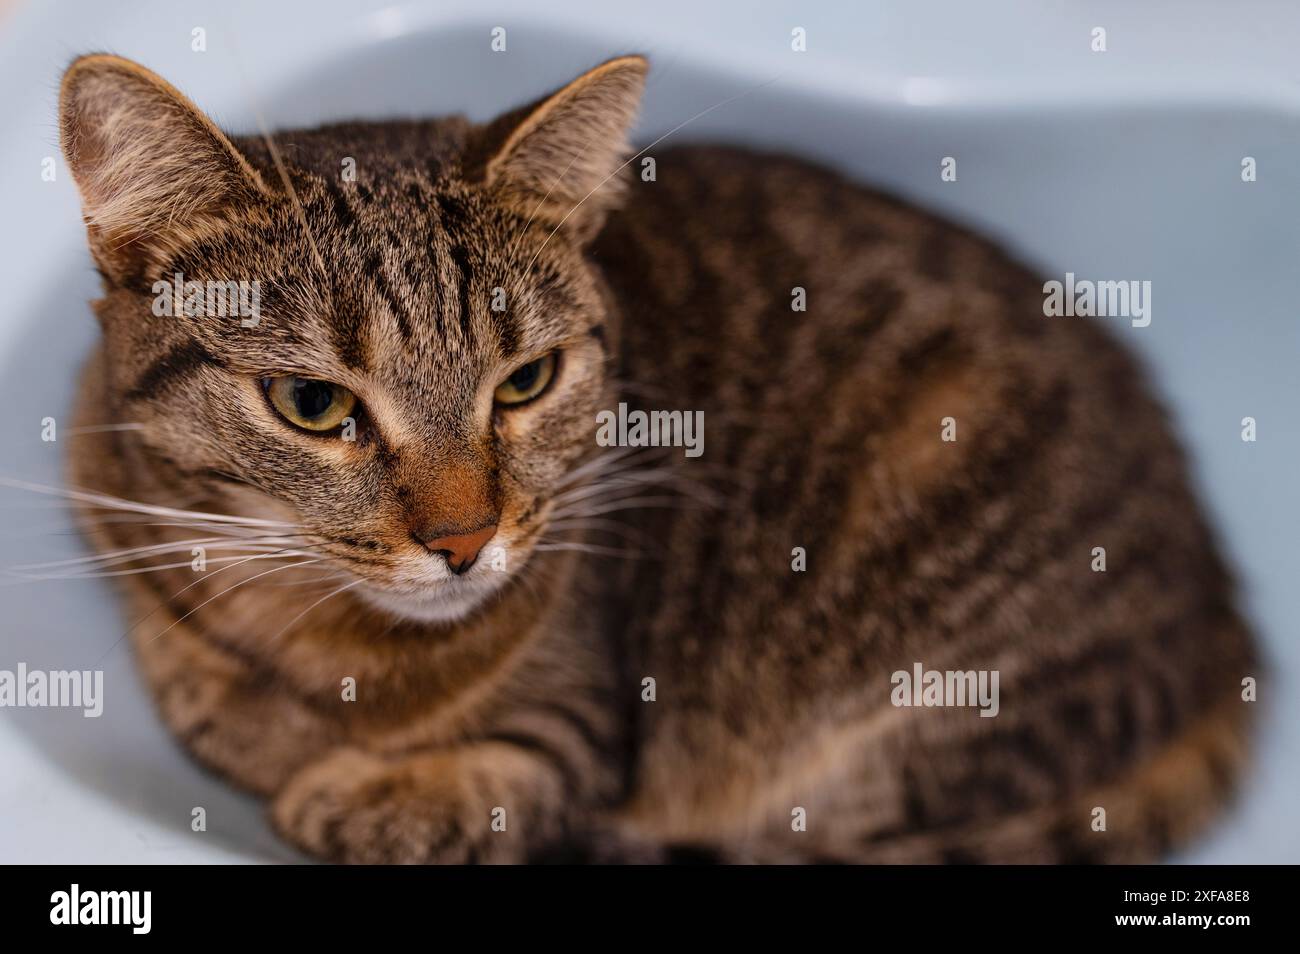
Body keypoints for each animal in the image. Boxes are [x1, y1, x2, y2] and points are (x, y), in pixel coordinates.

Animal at [61, 50, 1258, 868]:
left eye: (527, 382)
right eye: (313, 404)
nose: (465, 541)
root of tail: (1223, 612)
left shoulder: (582, 726)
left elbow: (485, 785)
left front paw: (360, 791)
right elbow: (207, 694)